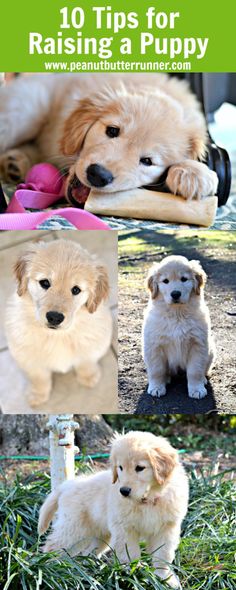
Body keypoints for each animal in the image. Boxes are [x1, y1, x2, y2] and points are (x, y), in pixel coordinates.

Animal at [5, 239, 112, 408]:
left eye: (76, 290)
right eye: (44, 283)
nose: (55, 317)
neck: (57, 336)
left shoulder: (93, 345)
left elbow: (86, 362)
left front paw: (88, 377)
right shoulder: (29, 359)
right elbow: (39, 377)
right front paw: (38, 394)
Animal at [39, 432, 190, 588]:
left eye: (140, 468)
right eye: (120, 467)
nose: (124, 491)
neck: (147, 499)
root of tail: (66, 486)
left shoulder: (166, 528)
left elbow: (163, 555)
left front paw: (166, 579)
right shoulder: (125, 529)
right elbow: (131, 553)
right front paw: (133, 574)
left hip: (101, 535)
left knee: (88, 552)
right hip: (73, 528)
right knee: (53, 546)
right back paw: (50, 568)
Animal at [142, 253, 216, 398]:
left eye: (184, 279)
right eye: (165, 281)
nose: (175, 294)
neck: (177, 315)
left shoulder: (198, 344)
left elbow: (195, 370)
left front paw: (196, 389)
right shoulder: (154, 345)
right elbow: (157, 370)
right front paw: (156, 387)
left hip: (211, 351)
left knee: (203, 369)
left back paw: (203, 380)